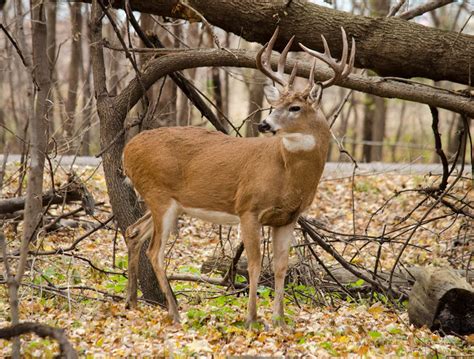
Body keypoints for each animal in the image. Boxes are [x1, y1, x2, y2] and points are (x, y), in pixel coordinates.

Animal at [123, 26, 356, 328]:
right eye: (274, 104)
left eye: (295, 107)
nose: (264, 124)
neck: (287, 175)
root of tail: (127, 151)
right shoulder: (248, 208)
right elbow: (256, 265)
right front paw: (252, 319)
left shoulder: (288, 218)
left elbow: (280, 266)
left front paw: (280, 321)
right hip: (159, 195)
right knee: (155, 252)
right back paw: (174, 312)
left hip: (165, 202)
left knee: (133, 232)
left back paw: (131, 301)